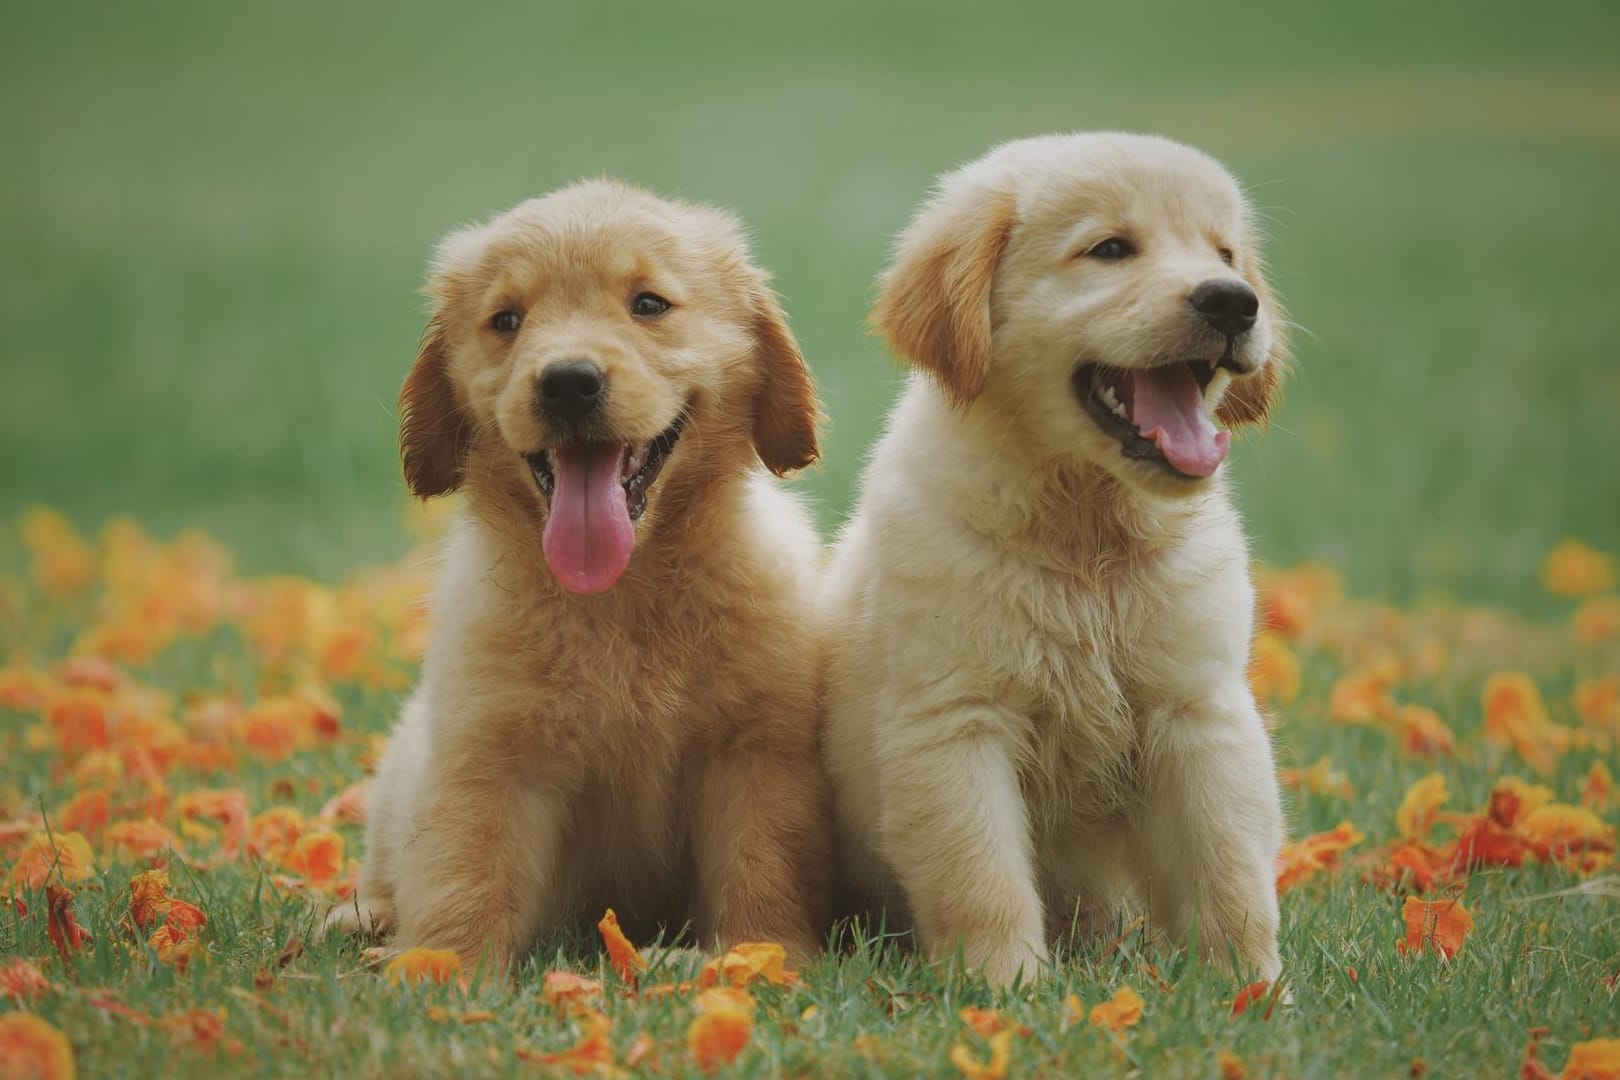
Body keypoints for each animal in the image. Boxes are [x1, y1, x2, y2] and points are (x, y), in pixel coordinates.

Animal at [328, 177, 835, 971]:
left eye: (649, 304)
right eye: (506, 320)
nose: (568, 383)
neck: (620, 594)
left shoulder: (754, 751)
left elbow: (762, 863)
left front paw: (759, 955)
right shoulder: (489, 752)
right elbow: (466, 868)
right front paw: (441, 968)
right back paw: (364, 918)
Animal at [822, 135, 1289, 990]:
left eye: (1225, 253)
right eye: (1109, 250)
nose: (1234, 302)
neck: (1085, 539)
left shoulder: (1197, 711)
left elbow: (1230, 868)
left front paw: (1252, 990)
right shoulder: (956, 721)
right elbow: (982, 876)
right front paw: (1008, 990)